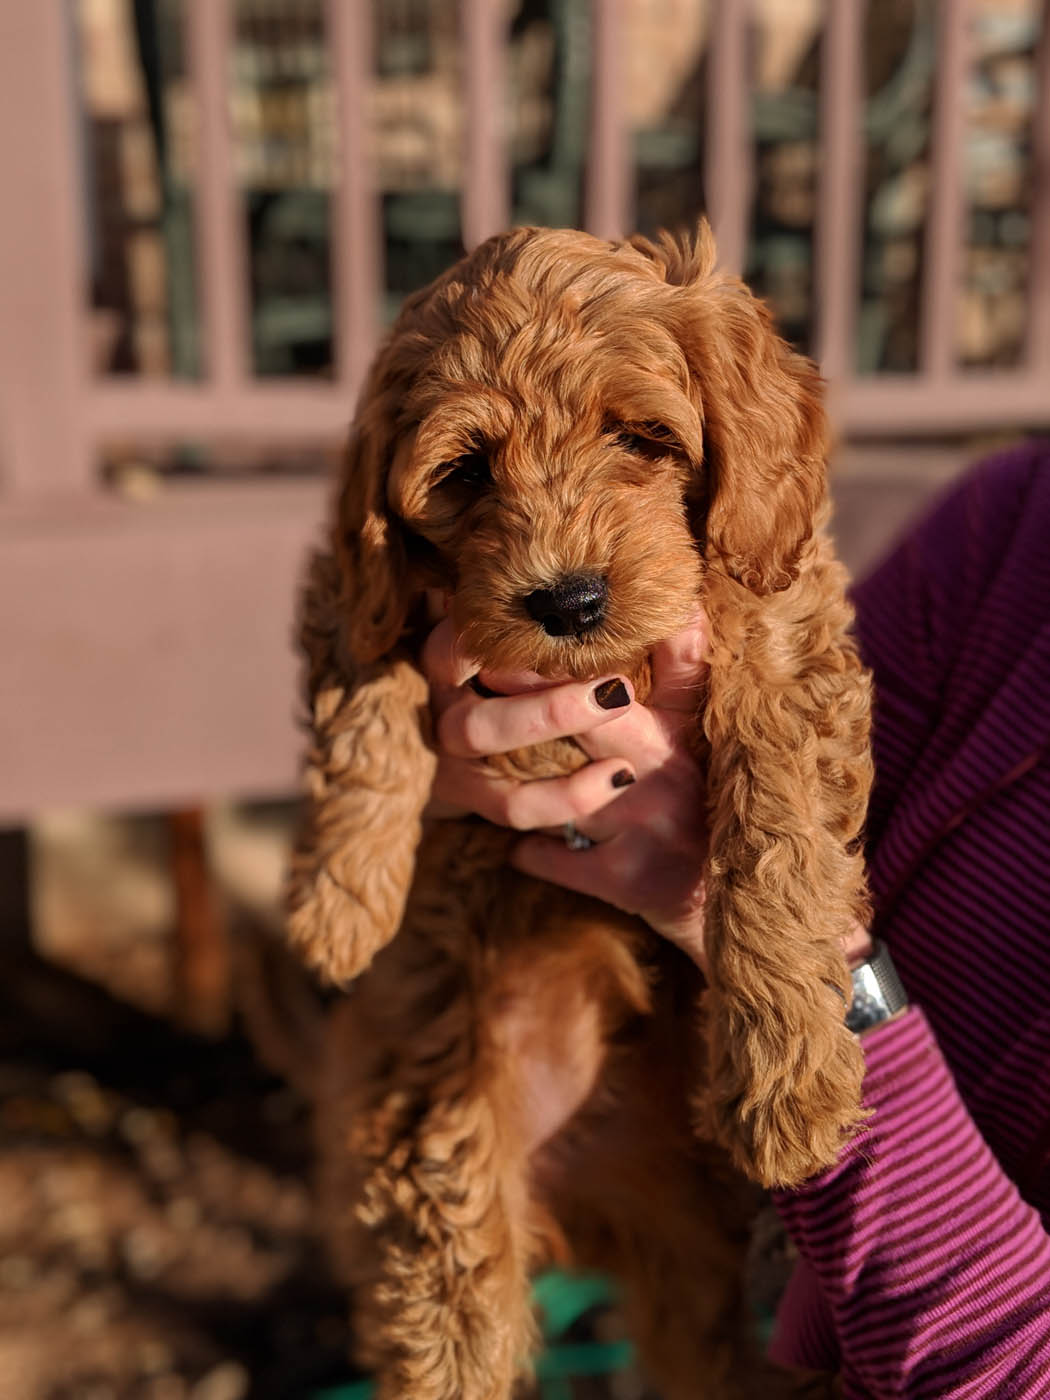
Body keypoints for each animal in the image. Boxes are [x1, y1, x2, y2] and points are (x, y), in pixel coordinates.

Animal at [288, 226, 873, 1400]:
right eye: (466, 472)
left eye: (642, 439)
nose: (568, 602)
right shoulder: (357, 581)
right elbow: (367, 677)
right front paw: (341, 899)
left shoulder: (782, 617)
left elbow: (774, 823)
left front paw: (786, 1077)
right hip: (434, 1180)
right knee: (452, 1329)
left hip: (698, 1262)